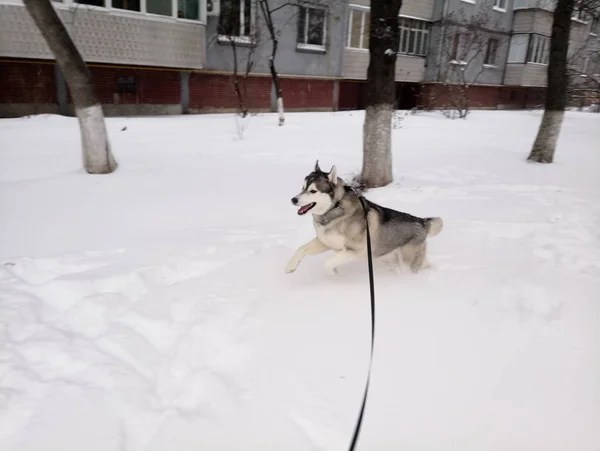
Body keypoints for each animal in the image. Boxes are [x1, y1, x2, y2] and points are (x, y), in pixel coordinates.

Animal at [286, 162, 440, 276]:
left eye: (313, 191)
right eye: (302, 188)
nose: (293, 200)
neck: (335, 208)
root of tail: (423, 222)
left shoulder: (355, 250)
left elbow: (328, 262)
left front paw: (332, 273)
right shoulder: (326, 242)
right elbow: (301, 249)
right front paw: (290, 266)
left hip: (407, 263)